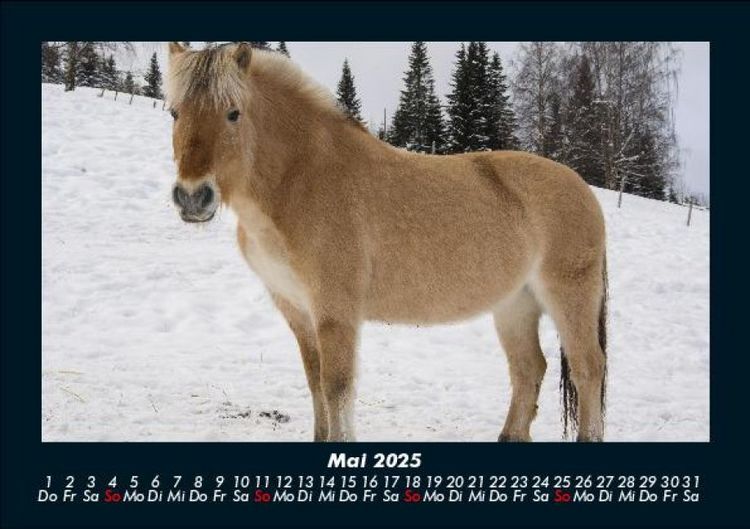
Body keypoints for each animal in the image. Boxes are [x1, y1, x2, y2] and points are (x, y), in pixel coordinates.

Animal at [165, 42, 608, 442]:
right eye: (175, 112)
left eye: (233, 113)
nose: (192, 197)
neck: (305, 181)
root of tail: (582, 189)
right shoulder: (297, 310)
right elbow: (315, 382)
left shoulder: (336, 312)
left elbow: (337, 388)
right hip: (515, 305)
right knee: (529, 368)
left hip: (568, 297)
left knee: (588, 368)